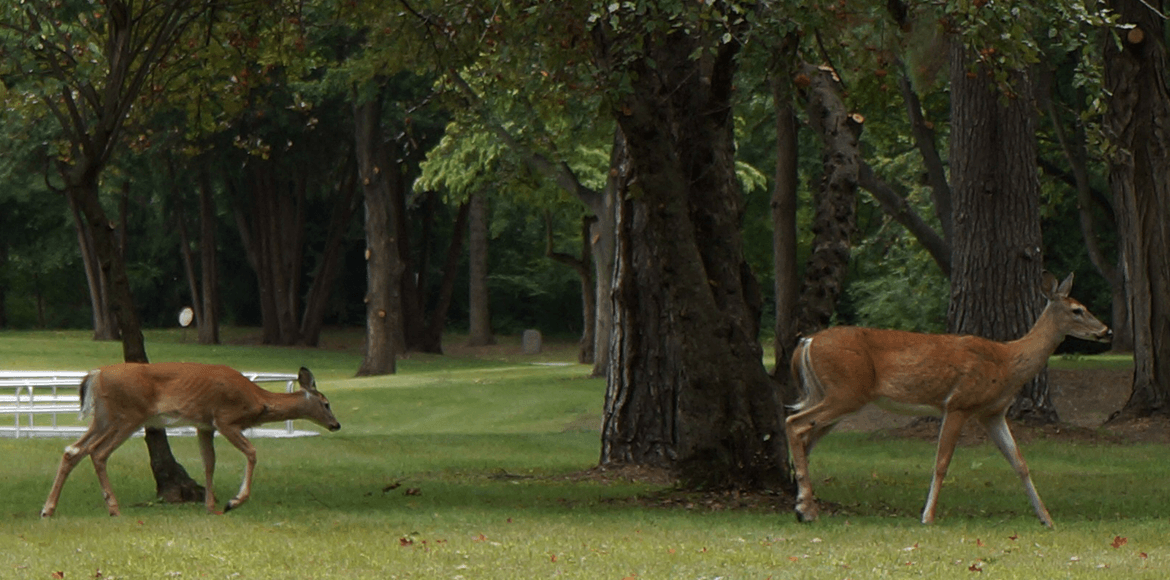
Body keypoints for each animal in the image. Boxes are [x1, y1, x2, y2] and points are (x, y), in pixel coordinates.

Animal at [41, 362, 341, 516]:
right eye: (326, 403)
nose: (336, 424)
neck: (258, 401)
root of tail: (96, 374)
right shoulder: (225, 418)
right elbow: (252, 452)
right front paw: (233, 501)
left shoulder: (204, 425)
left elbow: (209, 462)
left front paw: (211, 505)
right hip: (127, 415)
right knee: (97, 452)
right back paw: (113, 508)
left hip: (103, 417)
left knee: (73, 450)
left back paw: (49, 509)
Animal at [786, 273, 1113, 528]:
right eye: (1077, 310)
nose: (1106, 330)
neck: (1007, 363)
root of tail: (806, 342)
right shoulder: (959, 403)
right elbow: (942, 462)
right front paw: (927, 516)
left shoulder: (992, 413)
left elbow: (1020, 463)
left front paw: (1046, 518)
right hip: (845, 392)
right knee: (793, 423)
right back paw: (807, 509)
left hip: (832, 396)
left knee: (806, 437)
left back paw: (804, 506)